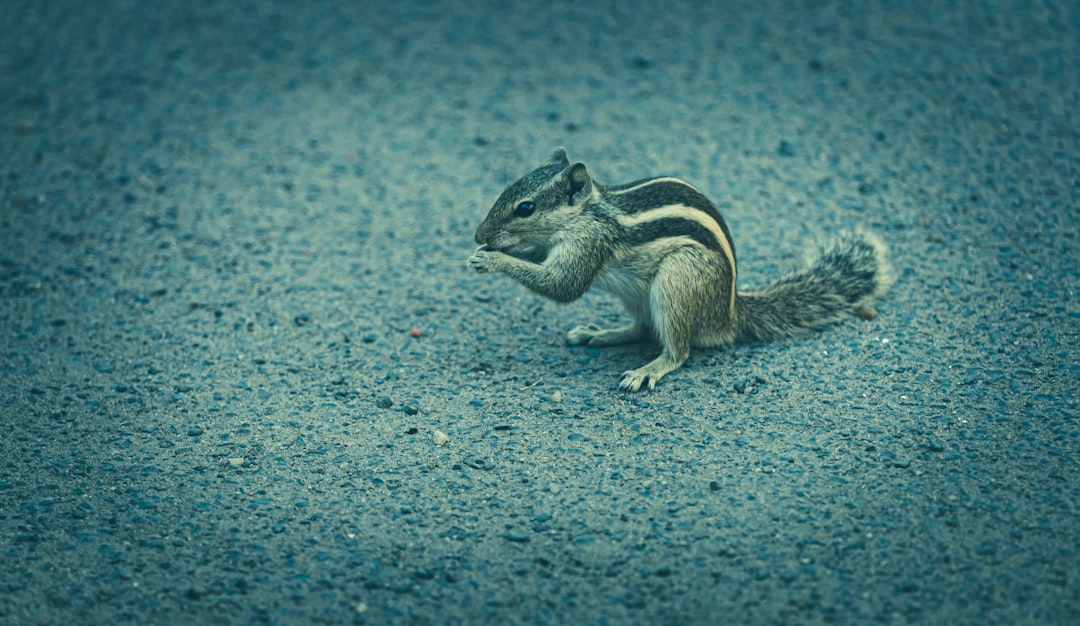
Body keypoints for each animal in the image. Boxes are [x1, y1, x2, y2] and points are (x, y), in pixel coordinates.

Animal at [466, 147, 894, 390]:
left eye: (526, 207)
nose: (478, 234)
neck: (590, 211)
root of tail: (729, 313)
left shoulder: (588, 243)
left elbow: (562, 286)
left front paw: (491, 259)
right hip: (640, 295)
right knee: (642, 328)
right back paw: (601, 333)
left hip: (677, 281)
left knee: (678, 350)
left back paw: (649, 369)